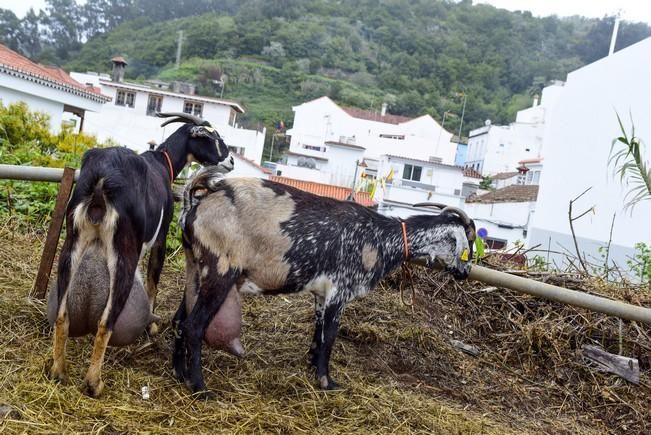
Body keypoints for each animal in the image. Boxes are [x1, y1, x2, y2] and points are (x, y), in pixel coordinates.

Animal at [51, 112, 234, 398]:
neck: (163, 162)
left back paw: (58, 371)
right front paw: (150, 324)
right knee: (106, 320)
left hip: (72, 243)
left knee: (62, 313)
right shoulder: (159, 239)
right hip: (123, 250)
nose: (231, 160)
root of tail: (102, 179)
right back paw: (94, 383)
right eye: (212, 137)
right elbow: (152, 281)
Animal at [173, 168, 476, 398]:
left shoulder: (321, 295)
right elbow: (329, 336)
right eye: (469, 241)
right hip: (219, 272)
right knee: (194, 325)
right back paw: (200, 388)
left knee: (179, 320)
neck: (380, 238)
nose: (465, 272)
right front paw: (327, 382)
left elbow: (317, 335)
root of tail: (195, 204)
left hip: (195, 270)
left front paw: (312, 371)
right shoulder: (339, 292)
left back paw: (179, 374)